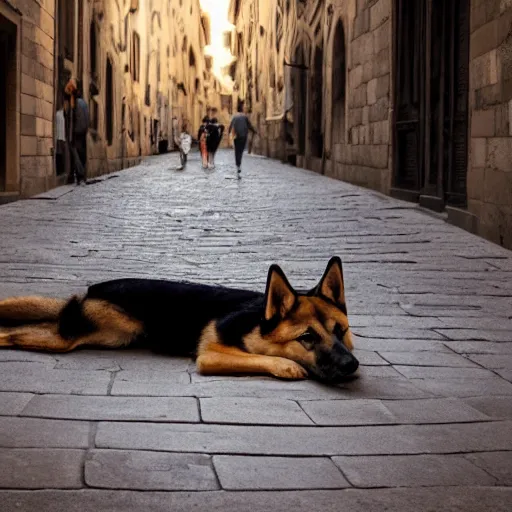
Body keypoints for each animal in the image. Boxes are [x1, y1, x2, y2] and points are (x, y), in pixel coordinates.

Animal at [0, 258, 358, 382]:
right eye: (307, 338)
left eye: (341, 331)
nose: (351, 366)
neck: (256, 320)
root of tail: (91, 289)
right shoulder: (211, 356)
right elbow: (263, 358)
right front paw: (287, 365)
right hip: (115, 330)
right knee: (22, 335)